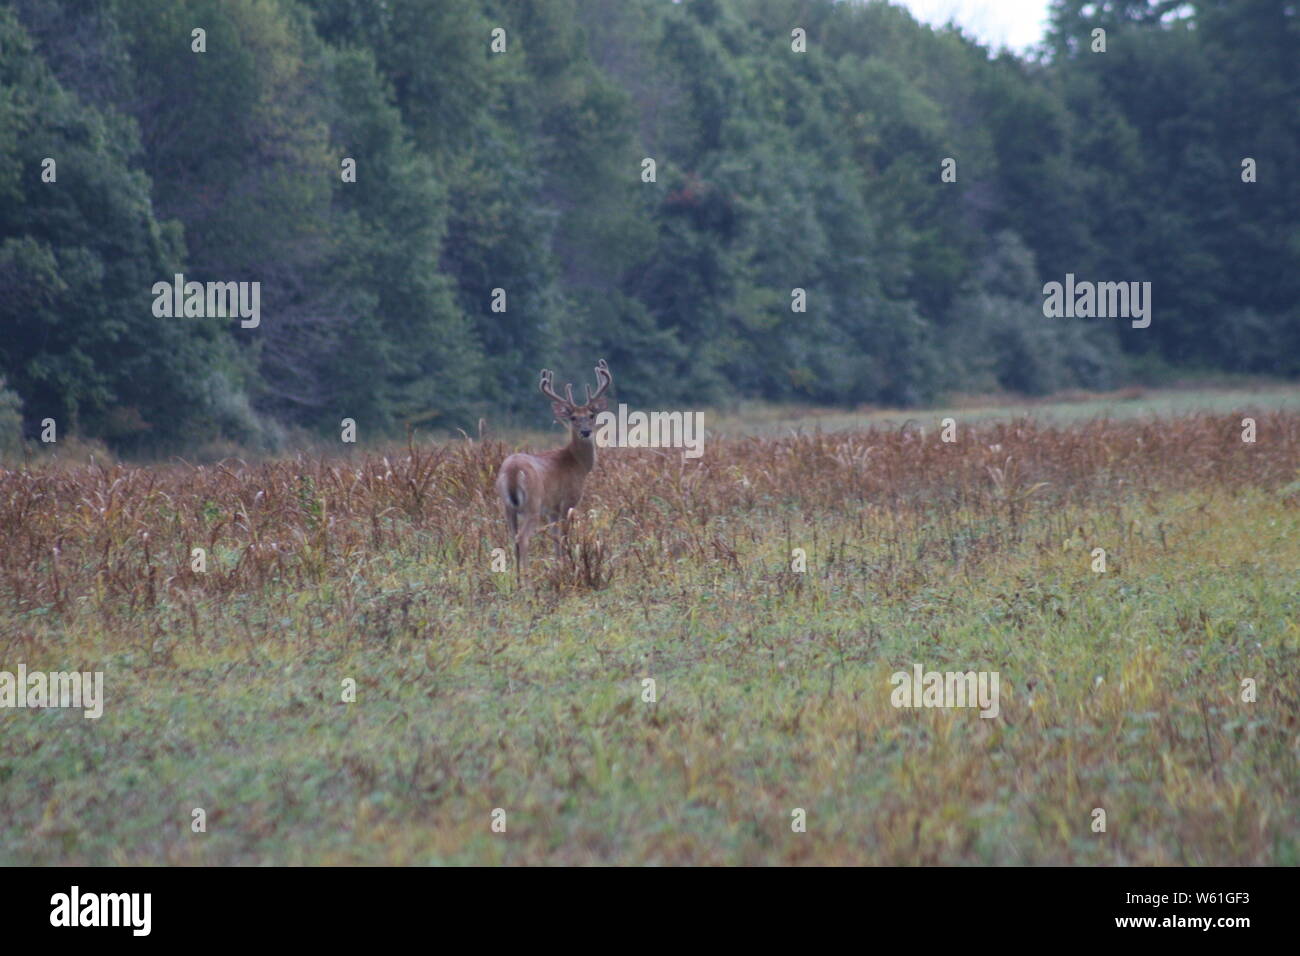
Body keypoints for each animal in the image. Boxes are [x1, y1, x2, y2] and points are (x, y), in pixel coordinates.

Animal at [496, 361, 613, 580]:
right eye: (573, 417)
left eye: (591, 415)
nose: (586, 431)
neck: (577, 463)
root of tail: (513, 471)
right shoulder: (567, 502)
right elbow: (565, 538)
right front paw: (570, 569)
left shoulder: (552, 509)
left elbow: (555, 539)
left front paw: (559, 568)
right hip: (532, 504)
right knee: (522, 538)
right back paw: (527, 581)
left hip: (508, 507)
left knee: (512, 538)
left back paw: (517, 580)